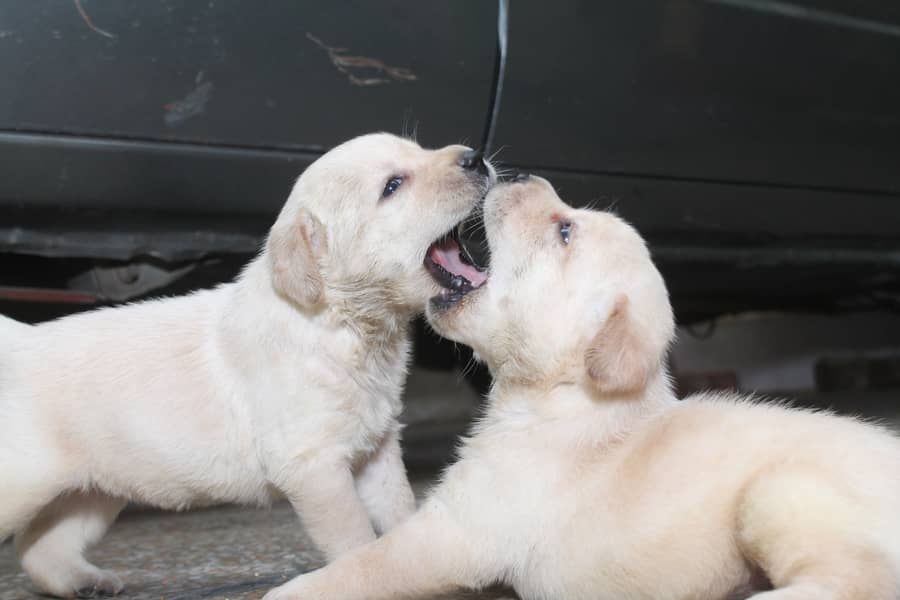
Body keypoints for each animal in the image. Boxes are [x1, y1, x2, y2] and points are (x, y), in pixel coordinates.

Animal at [0, 134, 496, 596]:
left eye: (420, 149)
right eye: (393, 185)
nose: (475, 157)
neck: (342, 325)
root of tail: (20, 340)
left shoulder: (376, 451)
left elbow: (399, 515)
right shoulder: (314, 467)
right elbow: (354, 538)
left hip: (94, 489)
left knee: (41, 545)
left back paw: (82, 581)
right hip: (26, 482)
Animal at [266, 175, 900, 600]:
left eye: (565, 229)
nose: (521, 174)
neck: (560, 398)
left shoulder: (458, 530)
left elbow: (369, 563)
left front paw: (293, 589)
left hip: (778, 492)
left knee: (852, 581)